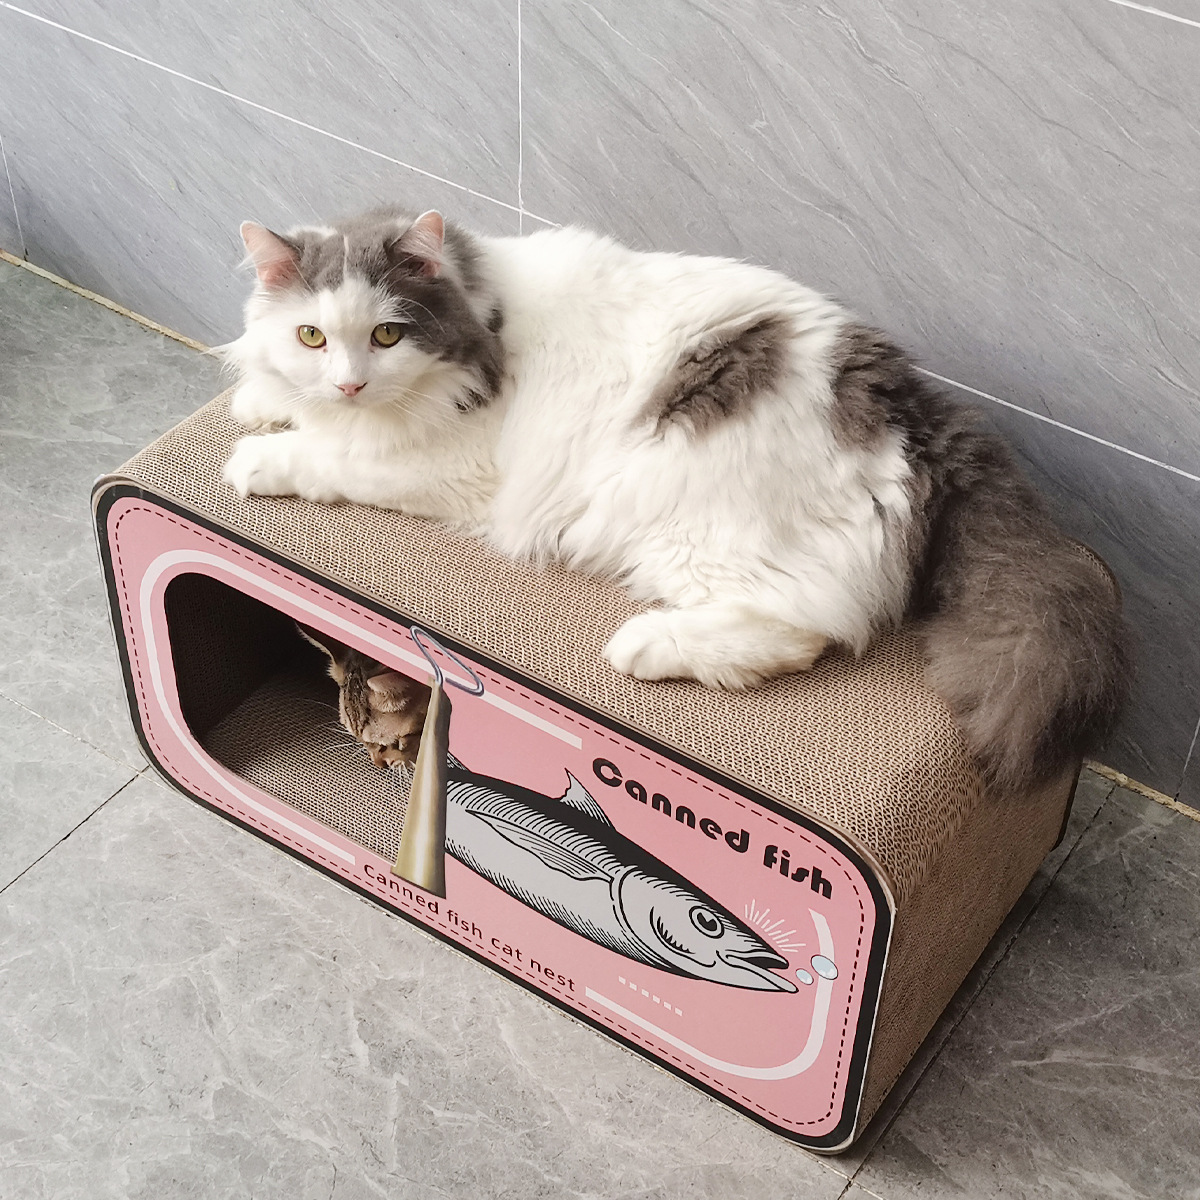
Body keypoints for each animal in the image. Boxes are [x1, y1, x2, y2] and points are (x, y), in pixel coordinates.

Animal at [221, 207, 1130, 796]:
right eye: (311, 336)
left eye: (387, 335)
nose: (349, 381)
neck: (485, 313)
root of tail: (909, 403)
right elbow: (290, 404)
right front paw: (261, 402)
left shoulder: (455, 465)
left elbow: (338, 459)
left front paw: (259, 457)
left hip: (685, 523)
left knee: (801, 630)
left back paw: (646, 645)